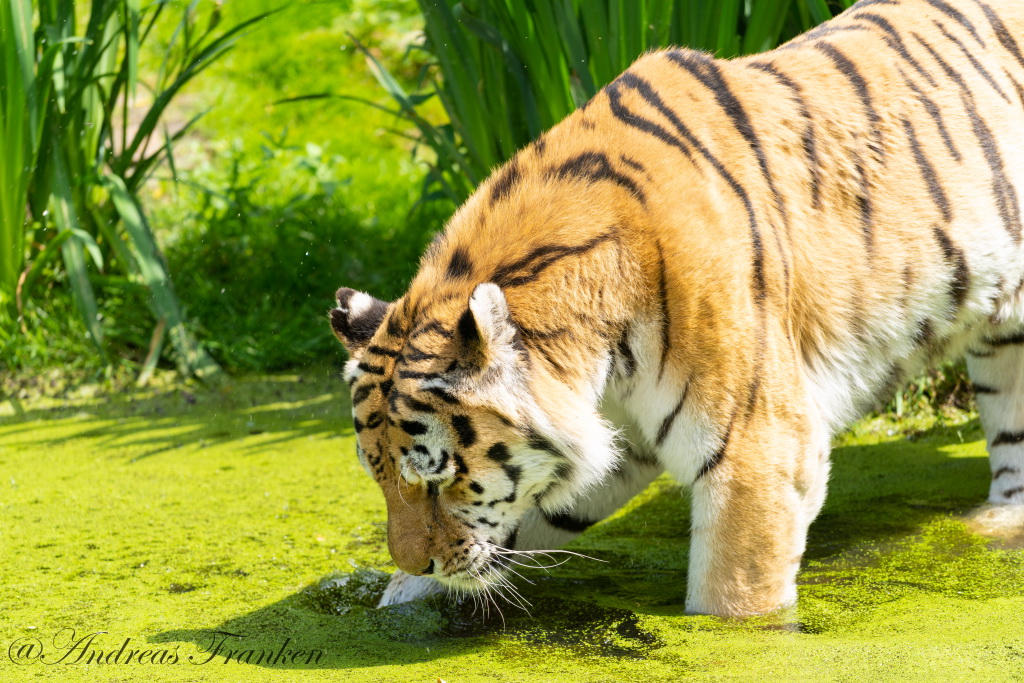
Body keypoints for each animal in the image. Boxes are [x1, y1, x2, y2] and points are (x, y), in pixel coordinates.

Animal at [325, 0, 1024, 618]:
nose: (415, 561)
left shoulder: (757, 450)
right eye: (377, 477)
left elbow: (732, 599)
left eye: (439, 480)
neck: (600, 360)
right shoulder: (612, 442)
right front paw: (397, 605)